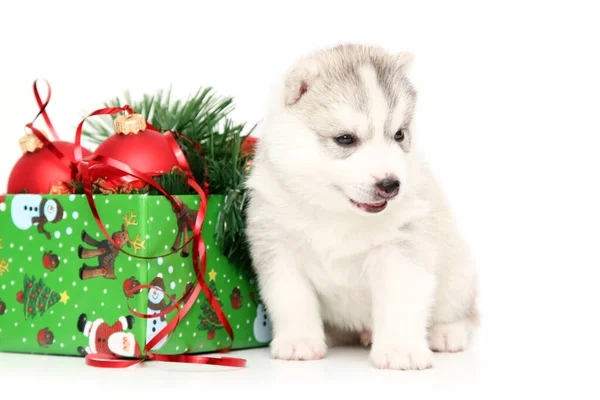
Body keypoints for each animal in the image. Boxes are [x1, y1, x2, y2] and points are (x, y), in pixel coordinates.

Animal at [244, 43, 478, 368]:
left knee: (463, 312)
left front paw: (400, 349)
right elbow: (292, 299)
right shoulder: (278, 249)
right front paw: (299, 341)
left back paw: (446, 332)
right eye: (345, 139)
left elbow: (401, 301)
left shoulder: (402, 249)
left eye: (399, 134)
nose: (391, 185)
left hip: (459, 273)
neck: (336, 212)